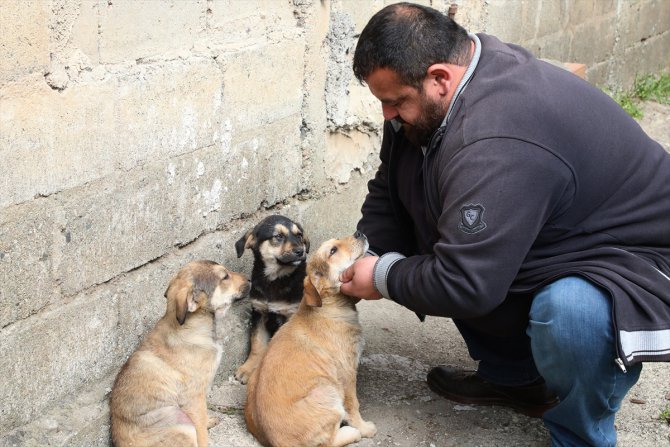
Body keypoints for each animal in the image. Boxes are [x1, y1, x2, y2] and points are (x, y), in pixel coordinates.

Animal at [111, 260, 252, 447]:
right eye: (224, 277)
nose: (250, 278)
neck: (193, 324)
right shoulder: (193, 398)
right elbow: (201, 432)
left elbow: (202, 419)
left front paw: (208, 421)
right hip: (179, 419)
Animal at [235, 215, 312, 384]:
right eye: (278, 236)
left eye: (299, 235)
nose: (301, 251)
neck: (274, 279)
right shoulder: (259, 311)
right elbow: (256, 343)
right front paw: (248, 368)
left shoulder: (289, 314)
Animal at [244, 233, 378, 446]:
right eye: (333, 251)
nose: (359, 233)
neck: (328, 306)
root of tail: (280, 443)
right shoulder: (347, 373)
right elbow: (353, 405)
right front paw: (364, 428)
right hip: (328, 391)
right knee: (329, 441)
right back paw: (352, 432)